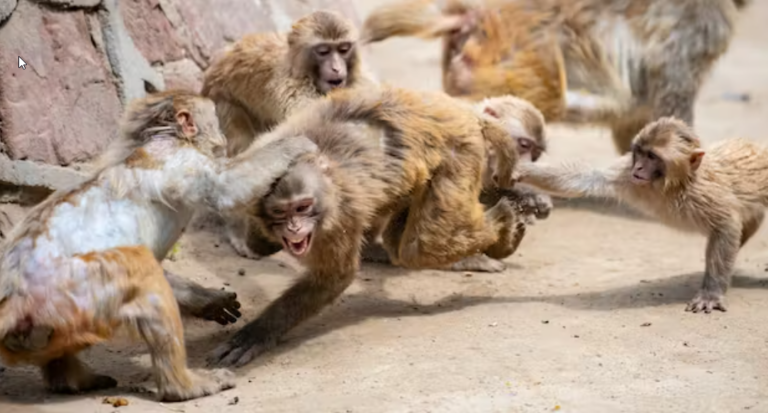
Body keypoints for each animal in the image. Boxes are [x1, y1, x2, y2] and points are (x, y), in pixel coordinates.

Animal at [0, 90, 318, 400]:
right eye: (215, 119)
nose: (222, 137)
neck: (164, 137)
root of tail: (14, 298)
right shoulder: (182, 160)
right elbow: (226, 189)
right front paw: (295, 144)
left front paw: (208, 301)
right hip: (75, 292)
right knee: (138, 264)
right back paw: (183, 386)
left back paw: (72, 381)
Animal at [201, 10, 377, 259]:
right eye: (323, 51)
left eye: (343, 49)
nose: (336, 68)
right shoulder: (291, 88)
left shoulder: (361, 84)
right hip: (222, 103)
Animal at [207, 85, 526, 367]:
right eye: (280, 212)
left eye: (302, 207)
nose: (294, 228)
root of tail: (462, 112)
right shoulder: (243, 183)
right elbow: (257, 239)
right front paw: (262, 241)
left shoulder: (343, 212)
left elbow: (333, 277)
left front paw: (257, 334)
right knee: (403, 243)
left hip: (461, 151)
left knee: (421, 247)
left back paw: (503, 224)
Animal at [513, 117, 768, 314]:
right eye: (640, 153)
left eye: (652, 157)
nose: (638, 169)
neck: (670, 186)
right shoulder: (626, 174)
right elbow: (586, 179)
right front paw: (523, 170)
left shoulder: (705, 194)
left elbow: (726, 224)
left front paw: (711, 293)